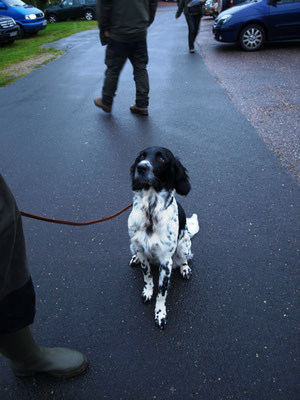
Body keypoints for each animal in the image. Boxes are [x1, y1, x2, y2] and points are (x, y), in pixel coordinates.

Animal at [127, 147, 199, 328]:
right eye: (141, 156)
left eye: (161, 159)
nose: (141, 167)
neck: (151, 211)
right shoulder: (141, 249)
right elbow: (147, 276)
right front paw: (147, 292)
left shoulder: (166, 262)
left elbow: (161, 292)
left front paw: (160, 314)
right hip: (132, 245)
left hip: (183, 245)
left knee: (185, 258)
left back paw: (185, 268)